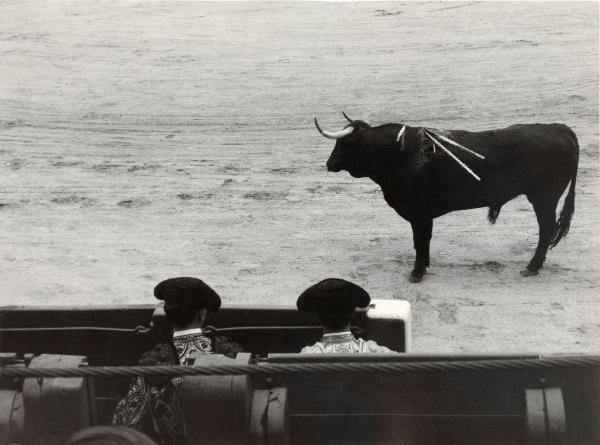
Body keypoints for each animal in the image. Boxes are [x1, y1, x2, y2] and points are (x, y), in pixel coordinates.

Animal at [316, 114, 580, 280]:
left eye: (343, 145)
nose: (329, 163)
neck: (399, 154)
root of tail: (558, 127)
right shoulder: (422, 215)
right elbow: (423, 242)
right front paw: (424, 267)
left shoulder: (419, 214)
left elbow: (420, 241)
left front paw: (417, 272)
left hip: (544, 197)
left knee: (546, 229)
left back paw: (532, 267)